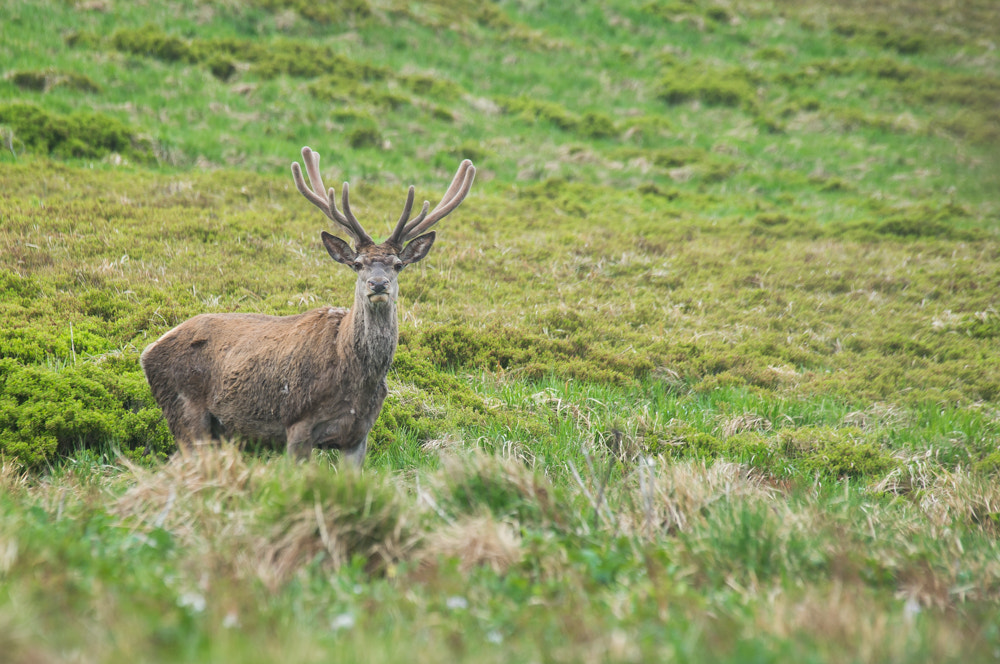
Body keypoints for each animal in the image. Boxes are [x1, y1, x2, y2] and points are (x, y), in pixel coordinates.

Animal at [140, 147, 476, 466]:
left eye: (397, 264)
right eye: (357, 264)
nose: (378, 284)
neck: (356, 379)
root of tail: (147, 351)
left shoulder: (359, 434)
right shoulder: (297, 421)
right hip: (184, 409)